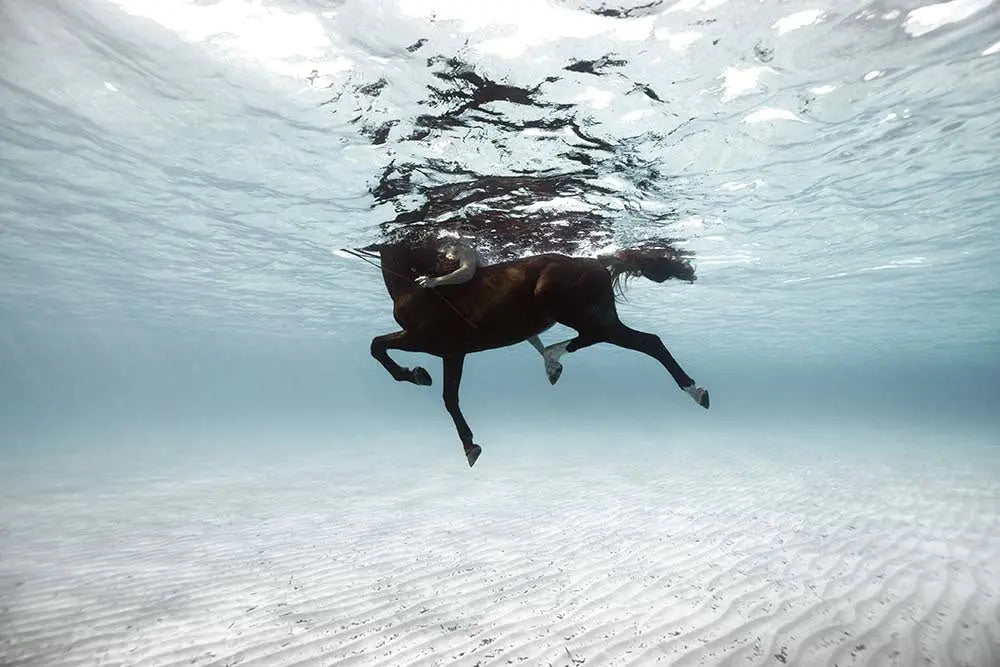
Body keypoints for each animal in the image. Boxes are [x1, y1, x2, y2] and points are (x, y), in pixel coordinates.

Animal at [360, 241, 710, 467]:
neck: (414, 286)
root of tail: (596, 262)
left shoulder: (427, 340)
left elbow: (377, 346)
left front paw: (415, 375)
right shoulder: (452, 352)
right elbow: (448, 397)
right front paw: (469, 445)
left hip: (570, 308)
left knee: (631, 340)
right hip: (597, 315)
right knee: (642, 341)